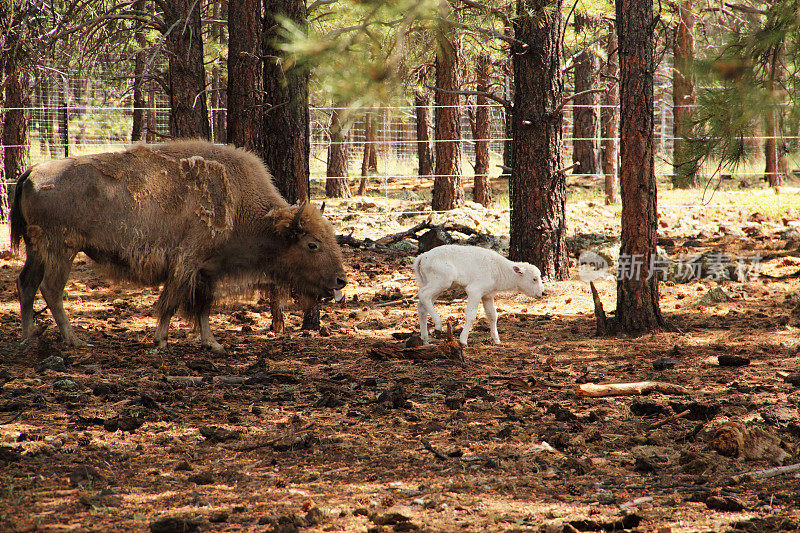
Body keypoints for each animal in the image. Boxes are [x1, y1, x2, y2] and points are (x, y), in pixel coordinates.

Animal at [9, 139, 346, 352]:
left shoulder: (207, 271)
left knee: (26, 284)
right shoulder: (186, 262)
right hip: (61, 249)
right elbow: (171, 303)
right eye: (312, 245)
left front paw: (212, 343)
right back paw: (74, 340)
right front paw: (160, 341)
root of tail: (33, 171)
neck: (241, 205)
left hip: (37, 249)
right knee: (50, 289)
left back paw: (29, 338)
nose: (341, 280)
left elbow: (203, 307)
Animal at [412, 244, 544, 348]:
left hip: (435, 284)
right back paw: (438, 326)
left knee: (422, 304)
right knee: (423, 294)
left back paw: (425, 340)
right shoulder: (475, 291)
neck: (498, 269)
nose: (542, 293)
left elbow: (492, 315)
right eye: (534, 279)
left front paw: (497, 340)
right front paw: (463, 341)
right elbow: (471, 315)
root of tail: (423, 256)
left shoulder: (487, 295)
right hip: (441, 281)